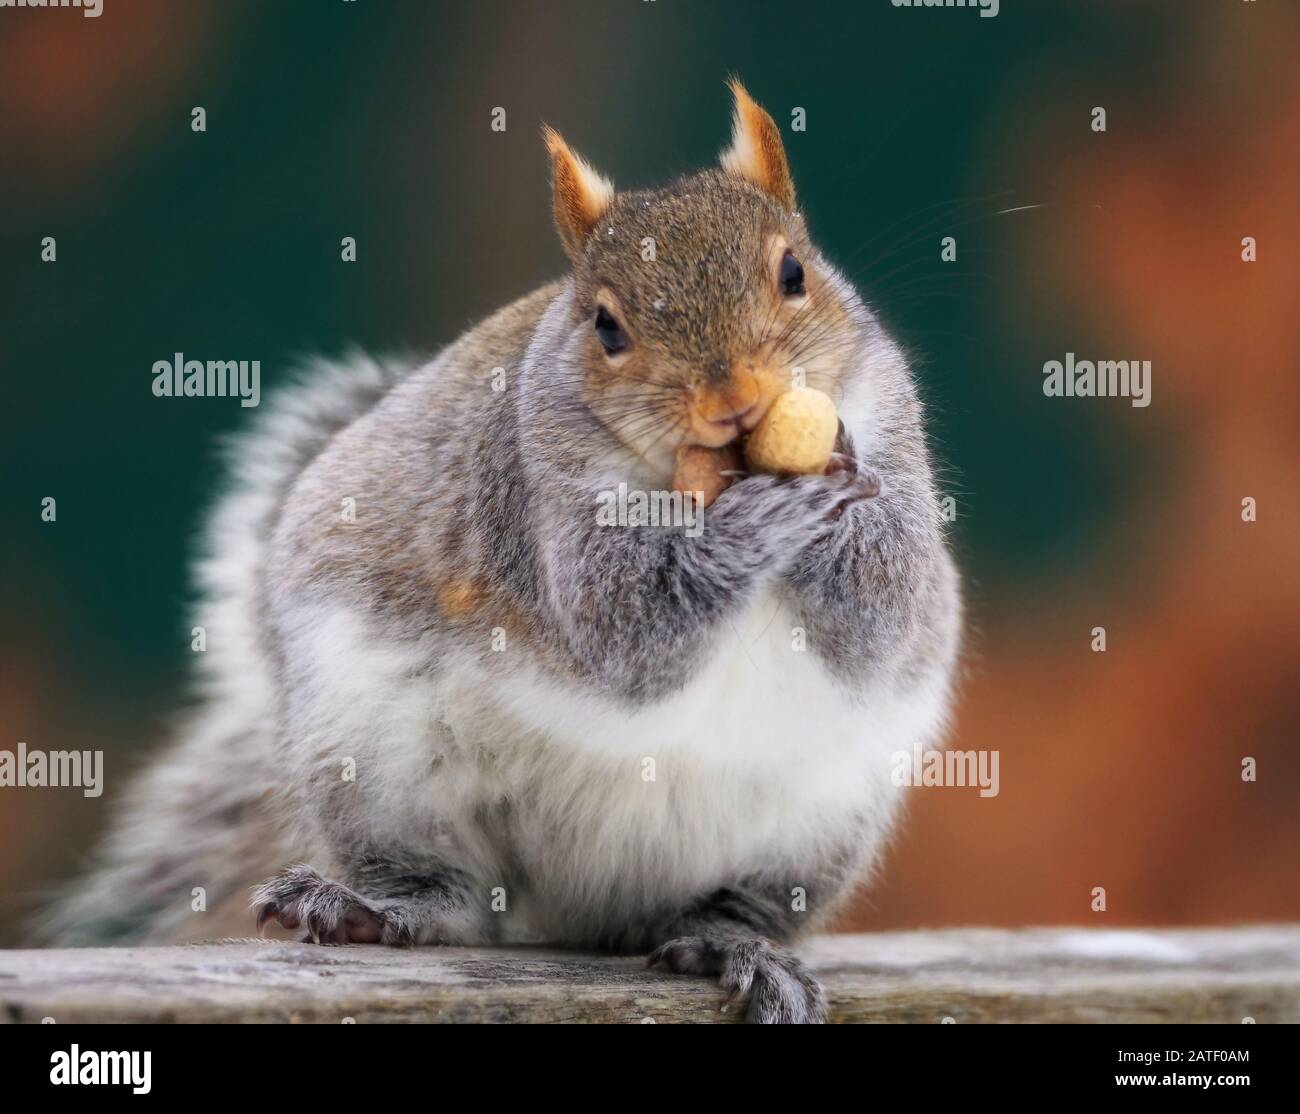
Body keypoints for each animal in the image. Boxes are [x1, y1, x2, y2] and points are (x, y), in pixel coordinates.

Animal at [40, 82, 961, 1019]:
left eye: (793, 274)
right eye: (605, 326)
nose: (732, 399)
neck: (692, 476)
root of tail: (589, 910)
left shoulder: (896, 435)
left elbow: (887, 609)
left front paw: (829, 497)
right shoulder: (526, 493)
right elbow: (621, 634)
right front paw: (758, 522)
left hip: (818, 823)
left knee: (729, 903)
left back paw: (728, 941)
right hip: (376, 764)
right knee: (454, 894)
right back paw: (376, 906)